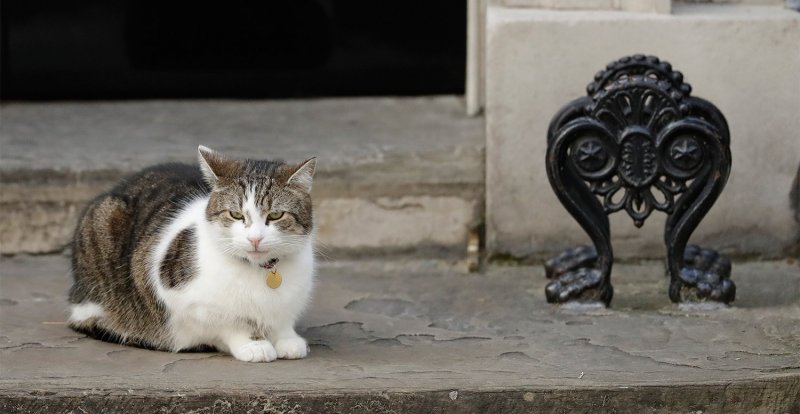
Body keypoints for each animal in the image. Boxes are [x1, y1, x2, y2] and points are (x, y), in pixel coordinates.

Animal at [66, 146, 316, 362]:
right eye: (236, 214)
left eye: (275, 215)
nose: (255, 239)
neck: (261, 271)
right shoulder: (183, 301)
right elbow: (229, 323)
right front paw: (252, 344)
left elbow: (282, 320)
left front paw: (286, 339)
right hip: (103, 222)